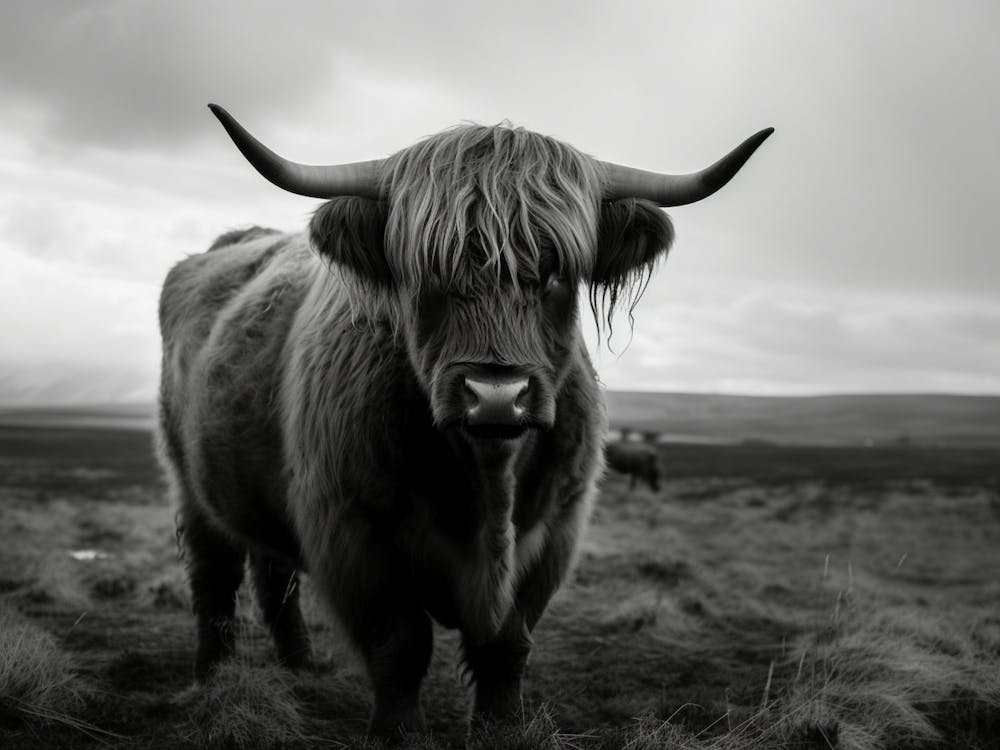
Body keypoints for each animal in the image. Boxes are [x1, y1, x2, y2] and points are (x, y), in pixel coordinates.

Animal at [156, 103, 771, 737]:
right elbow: (399, 647)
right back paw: (212, 679)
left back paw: (301, 667)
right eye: (425, 272)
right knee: (215, 575)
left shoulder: (556, 529)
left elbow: (505, 647)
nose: (496, 396)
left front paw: (502, 727)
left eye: (557, 273)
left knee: (273, 573)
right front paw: (397, 734)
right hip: (189, 481)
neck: (487, 483)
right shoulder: (353, 532)